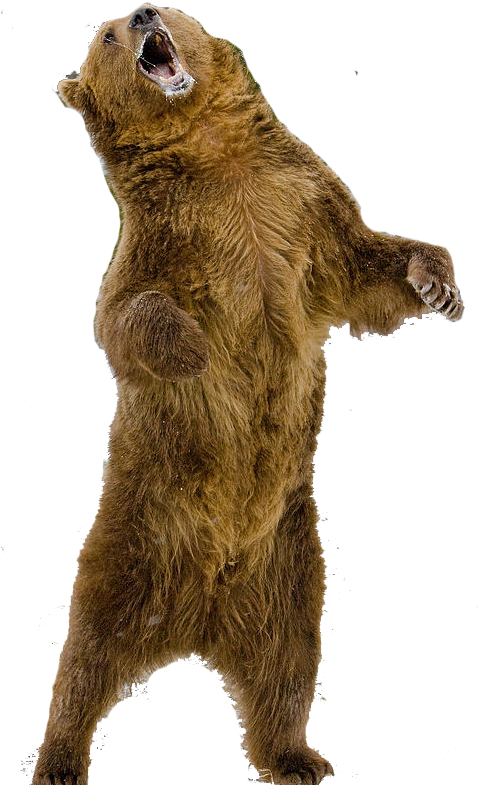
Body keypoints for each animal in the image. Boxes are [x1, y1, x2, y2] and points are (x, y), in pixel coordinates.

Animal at [34, 5, 464, 784]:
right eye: (106, 35)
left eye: (160, 5)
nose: (140, 14)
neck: (212, 153)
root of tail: (198, 611)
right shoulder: (165, 239)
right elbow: (126, 313)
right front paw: (196, 348)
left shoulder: (303, 204)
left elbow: (367, 262)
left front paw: (437, 285)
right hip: (129, 540)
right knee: (86, 655)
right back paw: (58, 758)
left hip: (288, 566)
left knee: (285, 665)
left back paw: (296, 755)